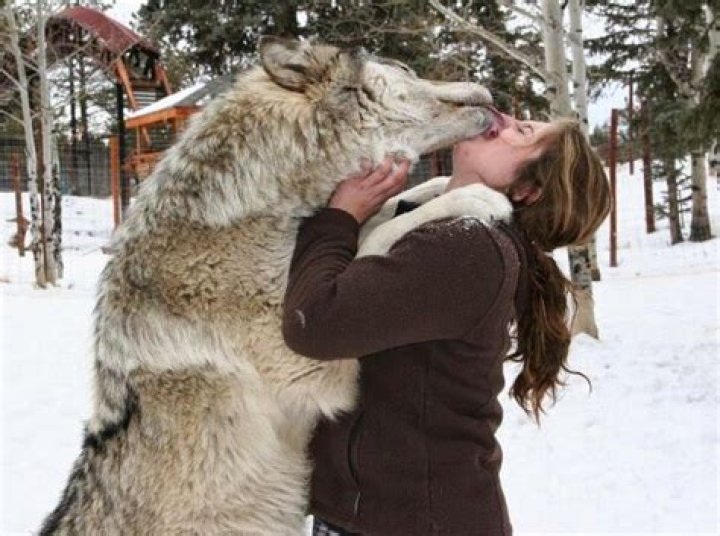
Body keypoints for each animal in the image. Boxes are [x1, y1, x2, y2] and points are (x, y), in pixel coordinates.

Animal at [40, 37, 511, 535]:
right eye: (403, 67)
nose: (485, 87)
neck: (256, 205)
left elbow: (382, 216)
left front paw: (438, 184)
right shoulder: (307, 354)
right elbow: (380, 234)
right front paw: (473, 194)